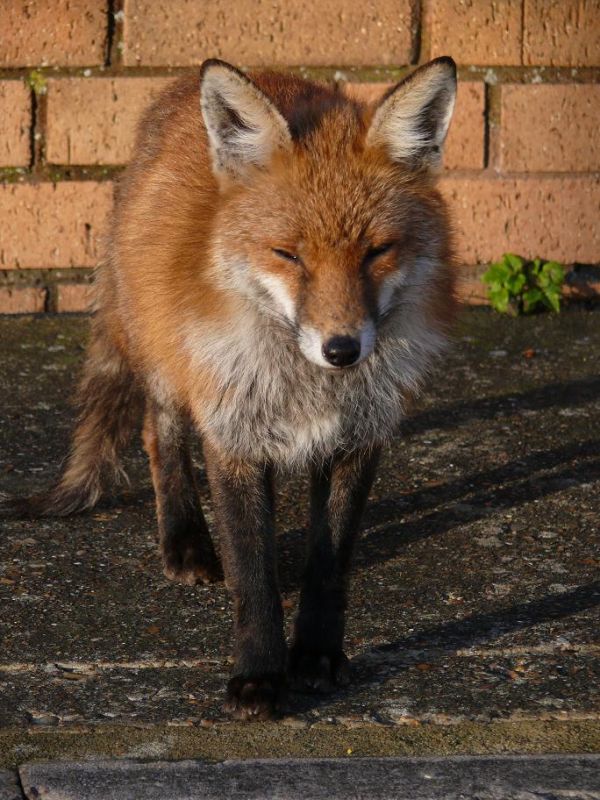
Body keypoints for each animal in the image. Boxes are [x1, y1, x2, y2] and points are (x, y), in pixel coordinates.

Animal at [4, 56, 458, 719]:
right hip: (166, 357)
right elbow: (251, 572)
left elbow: (329, 565)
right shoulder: (233, 433)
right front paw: (260, 675)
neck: (306, 386)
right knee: (158, 433)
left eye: (376, 251)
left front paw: (317, 656)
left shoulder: (359, 439)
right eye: (288, 255)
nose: (343, 350)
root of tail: (172, 90)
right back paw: (185, 539)